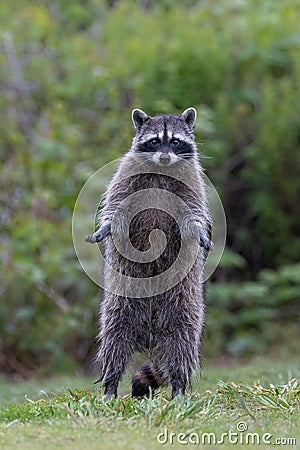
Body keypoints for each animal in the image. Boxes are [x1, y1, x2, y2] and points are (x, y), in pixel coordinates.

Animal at [85, 107, 212, 400]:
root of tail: (151, 334)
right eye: (154, 141)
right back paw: (110, 385)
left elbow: (194, 211)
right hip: (122, 301)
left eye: (175, 141)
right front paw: (106, 225)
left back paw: (178, 386)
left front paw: (199, 230)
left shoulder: (192, 182)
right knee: (114, 339)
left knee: (182, 341)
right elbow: (116, 204)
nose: (165, 156)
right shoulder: (126, 174)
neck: (162, 168)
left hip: (183, 301)